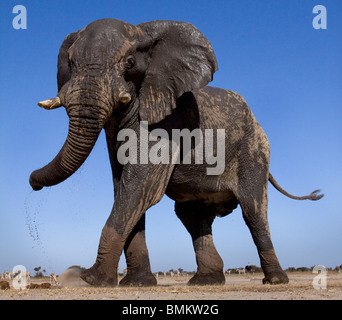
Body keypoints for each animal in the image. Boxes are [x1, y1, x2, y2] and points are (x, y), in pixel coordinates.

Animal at [29, 18, 324, 286]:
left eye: (129, 63)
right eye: (70, 63)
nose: (32, 182)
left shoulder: (168, 123)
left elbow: (139, 185)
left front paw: (91, 280)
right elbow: (125, 188)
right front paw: (137, 284)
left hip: (255, 149)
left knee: (253, 212)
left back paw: (275, 281)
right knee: (192, 216)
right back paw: (206, 282)